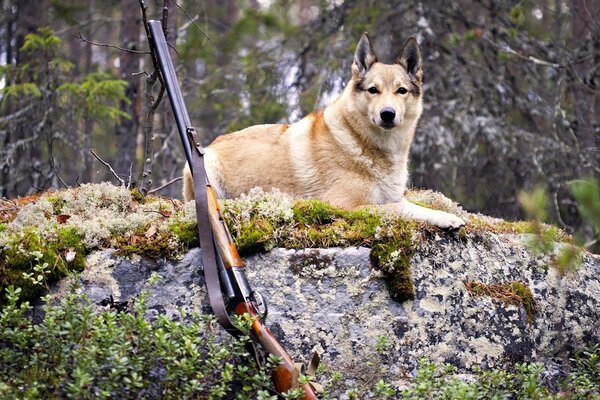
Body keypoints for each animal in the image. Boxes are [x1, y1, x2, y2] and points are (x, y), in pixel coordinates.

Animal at [183, 32, 464, 228]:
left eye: (401, 91)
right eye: (373, 90)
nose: (387, 114)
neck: (362, 143)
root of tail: (213, 143)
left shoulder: (393, 196)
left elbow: (416, 207)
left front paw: (445, 217)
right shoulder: (348, 206)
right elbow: (397, 210)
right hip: (208, 167)